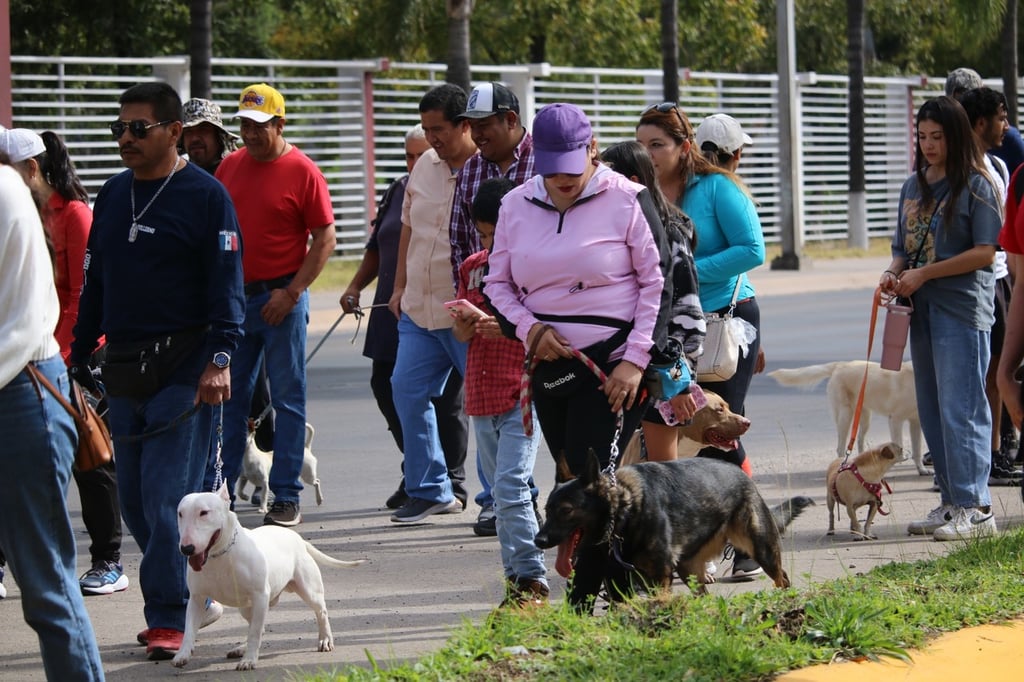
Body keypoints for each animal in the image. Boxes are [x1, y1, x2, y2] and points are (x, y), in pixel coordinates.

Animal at [174, 489, 366, 667]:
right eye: (180, 513)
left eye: (204, 513)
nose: (186, 549)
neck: (219, 555)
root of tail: (297, 538)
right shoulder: (197, 599)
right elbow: (189, 629)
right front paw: (182, 655)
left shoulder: (260, 596)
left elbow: (255, 632)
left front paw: (249, 660)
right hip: (246, 606)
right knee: (258, 625)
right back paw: (240, 648)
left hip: (308, 590)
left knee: (321, 612)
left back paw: (325, 639)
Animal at [770, 360, 929, 473]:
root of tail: (839, 365)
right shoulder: (895, 420)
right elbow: (899, 444)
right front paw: (899, 461)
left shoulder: (916, 423)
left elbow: (917, 449)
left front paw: (921, 469)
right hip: (845, 416)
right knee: (841, 447)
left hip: (865, 418)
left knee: (859, 440)